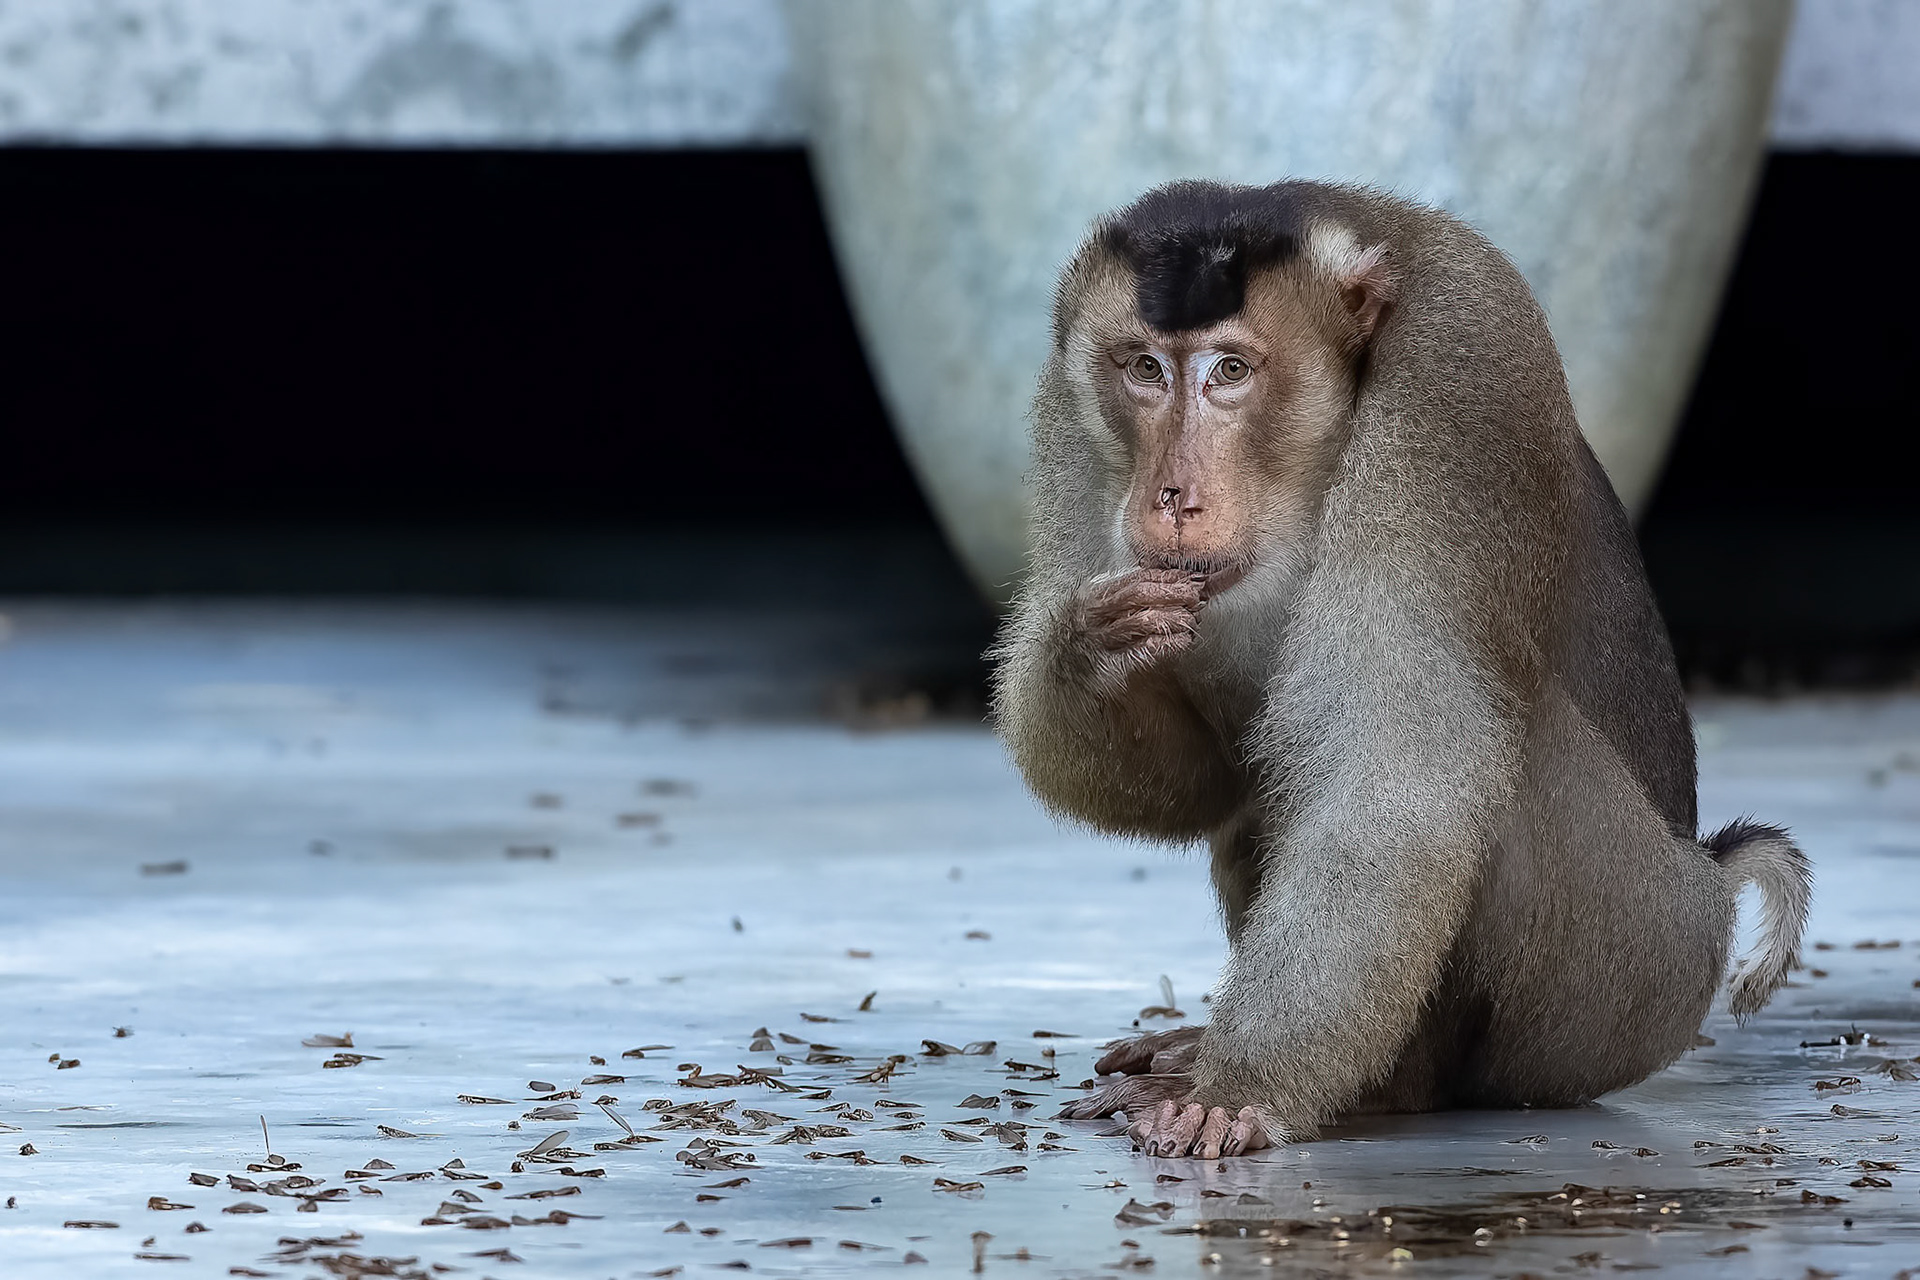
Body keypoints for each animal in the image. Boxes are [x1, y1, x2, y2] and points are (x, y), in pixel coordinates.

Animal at [989, 179, 1811, 1160]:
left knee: (1495, 759)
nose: (1171, 497)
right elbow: (1206, 783)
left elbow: (1397, 782)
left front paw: (1238, 1090)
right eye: (1144, 368)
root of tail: (1708, 882)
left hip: (1628, 974)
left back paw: (1387, 1087)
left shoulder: (1461, 375)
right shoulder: (1067, 421)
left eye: (1230, 371)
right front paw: (1089, 656)